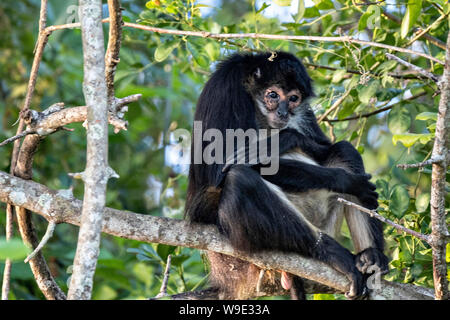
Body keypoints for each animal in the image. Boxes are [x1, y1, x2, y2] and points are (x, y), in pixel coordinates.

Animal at [185, 50, 388, 300]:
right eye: (273, 95)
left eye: (293, 99)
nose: (283, 112)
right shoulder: (227, 86)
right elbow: (217, 171)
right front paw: (348, 181)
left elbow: (325, 145)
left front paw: (287, 138)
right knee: (240, 179)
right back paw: (331, 252)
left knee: (344, 150)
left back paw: (371, 257)